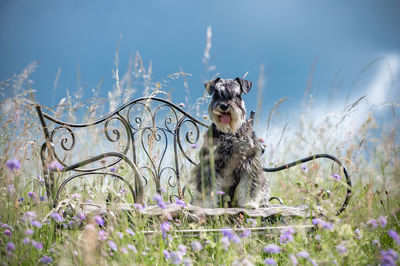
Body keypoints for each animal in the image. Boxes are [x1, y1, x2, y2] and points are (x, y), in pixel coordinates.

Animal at [190, 78, 268, 209]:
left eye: (236, 95)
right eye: (216, 94)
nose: (224, 106)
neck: (229, 132)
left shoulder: (249, 162)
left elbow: (249, 184)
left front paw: (249, 202)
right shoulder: (210, 162)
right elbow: (208, 186)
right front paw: (207, 204)